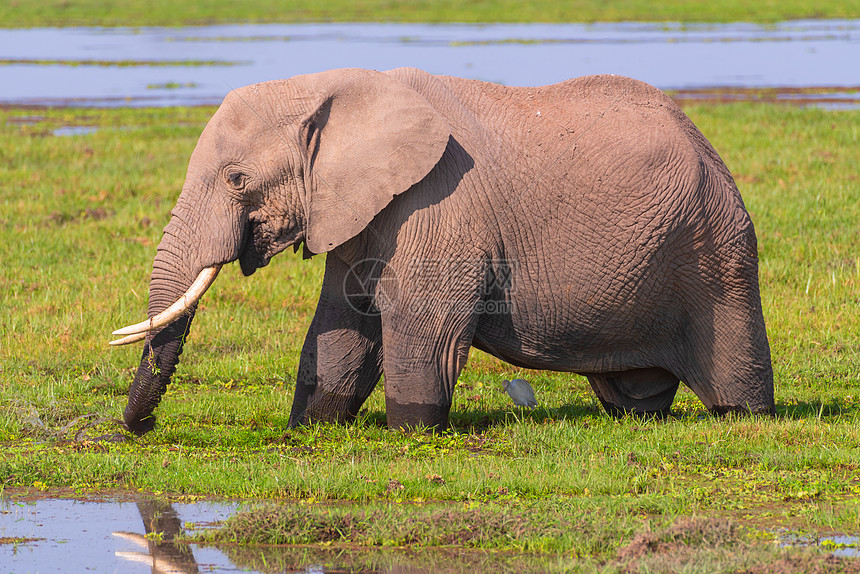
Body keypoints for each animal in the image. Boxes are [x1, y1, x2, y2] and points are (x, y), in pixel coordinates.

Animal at [111, 67, 776, 436]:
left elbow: (421, 331)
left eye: (237, 180)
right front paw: (308, 430)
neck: (330, 90)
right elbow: (340, 331)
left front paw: (411, 436)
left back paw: (744, 414)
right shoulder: (359, 215)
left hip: (716, 253)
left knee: (735, 384)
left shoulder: (435, 206)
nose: (139, 431)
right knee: (634, 396)